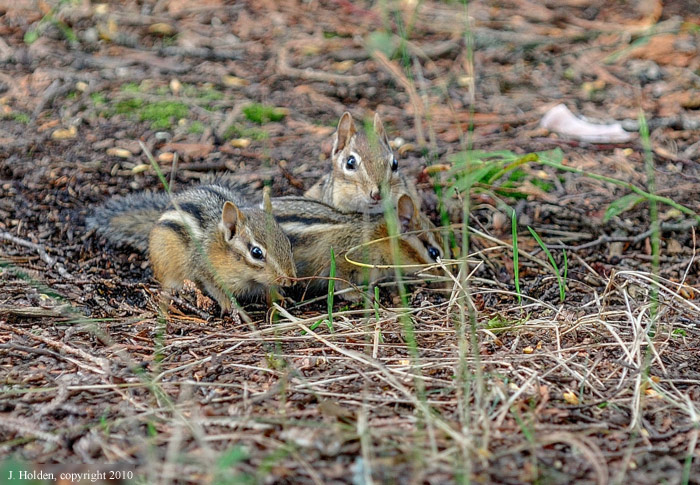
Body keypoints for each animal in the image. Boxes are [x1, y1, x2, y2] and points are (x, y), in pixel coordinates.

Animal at [87, 183, 296, 312]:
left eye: (287, 241)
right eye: (256, 252)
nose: (291, 280)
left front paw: (279, 296)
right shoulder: (204, 271)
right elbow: (215, 289)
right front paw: (228, 305)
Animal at [268, 194, 444, 298]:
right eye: (434, 253)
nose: (446, 282)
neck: (377, 237)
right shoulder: (342, 261)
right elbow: (341, 285)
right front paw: (358, 295)